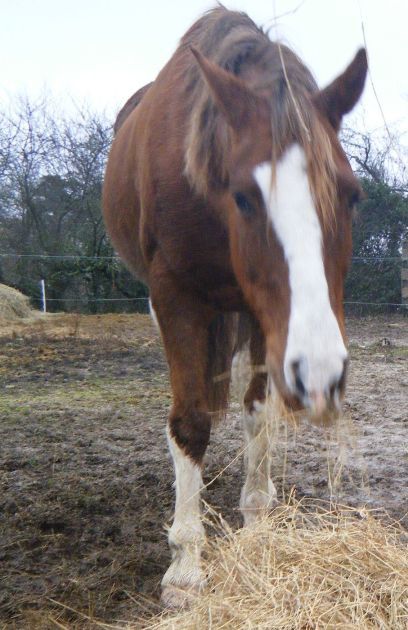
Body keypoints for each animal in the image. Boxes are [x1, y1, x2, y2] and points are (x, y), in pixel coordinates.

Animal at [102, 3, 366, 608]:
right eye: (244, 197)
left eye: (352, 196)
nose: (323, 374)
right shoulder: (175, 297)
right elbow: (191, 421)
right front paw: (185, 569)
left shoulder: (266, 317)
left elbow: (257, 413)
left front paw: (259, 529)